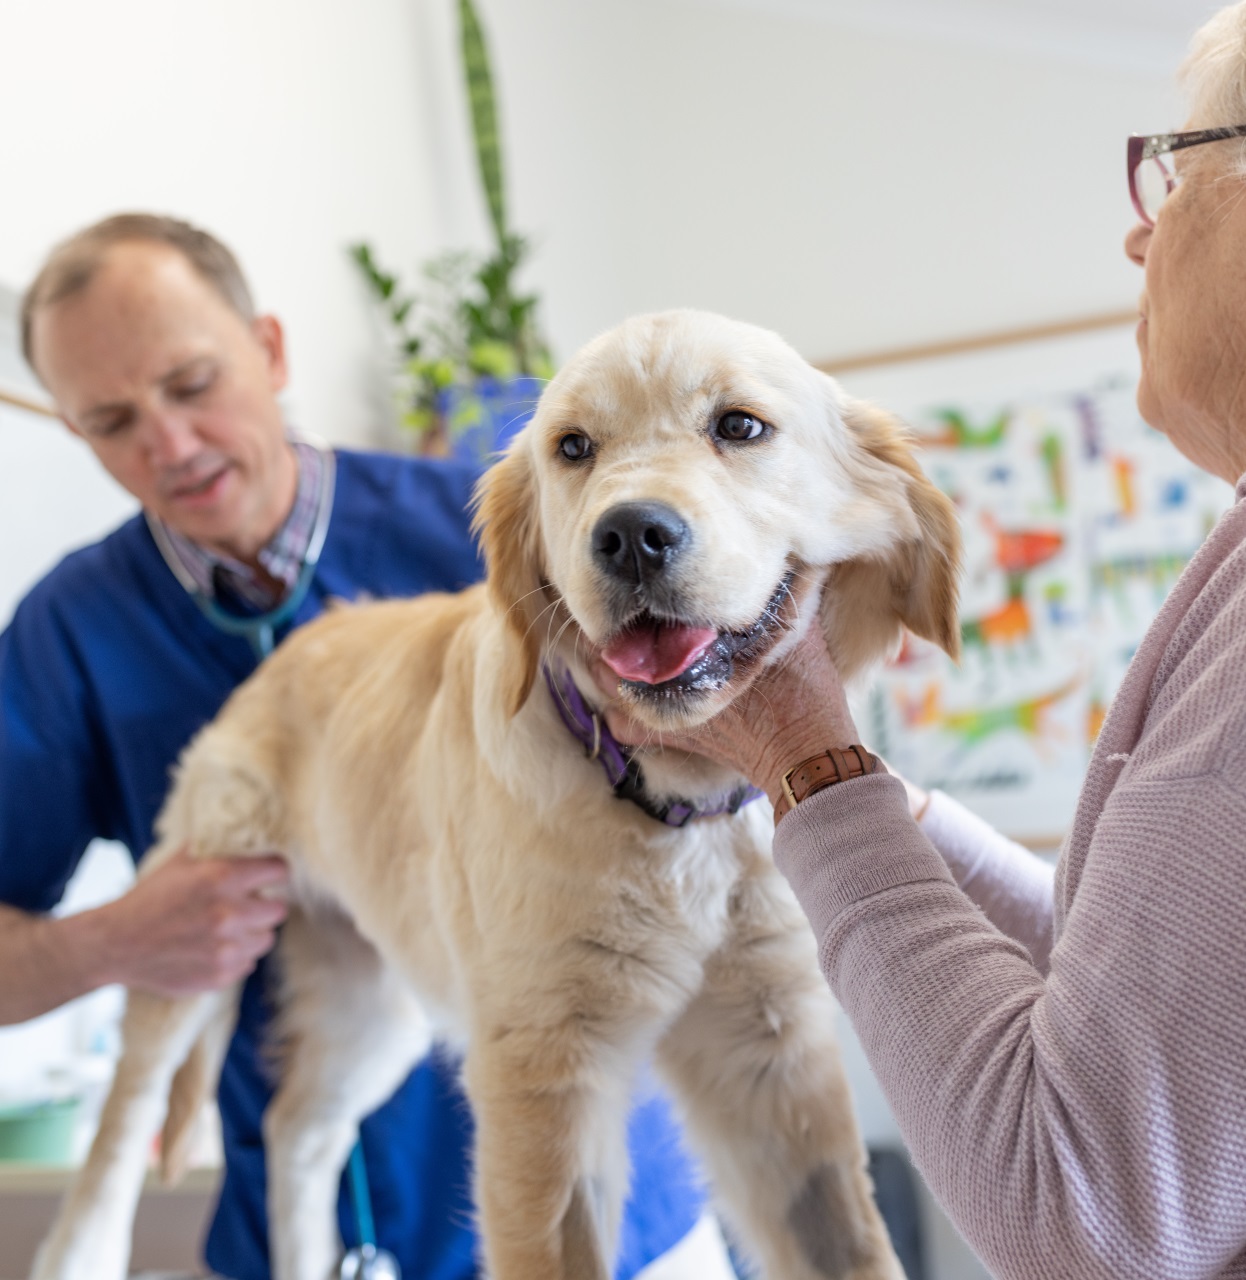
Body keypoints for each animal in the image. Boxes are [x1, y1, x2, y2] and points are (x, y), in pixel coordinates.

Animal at [34, 309, 957, 1280]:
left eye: (740, 426)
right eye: (573, 448)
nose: (631, 535)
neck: (669, 804)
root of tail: (280, 656)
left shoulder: (771, 1055)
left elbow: (846, 1245)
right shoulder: (541, 1069)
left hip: (376, 997)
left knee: (299, 1128)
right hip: (198, 941)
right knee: (124, 1125)